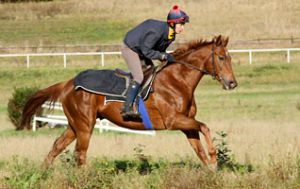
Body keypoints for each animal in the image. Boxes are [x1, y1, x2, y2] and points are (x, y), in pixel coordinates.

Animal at [19, 34, 238, 168]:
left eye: (229, 58)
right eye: (220, 58)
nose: (232, 83)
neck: (178, 81)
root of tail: (67, 83)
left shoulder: (186, 124)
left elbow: (198, 148)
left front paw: (212, 170)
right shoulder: (173, 121)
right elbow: (205, 127)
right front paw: (214, 158)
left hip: (75, 124)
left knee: (58, 146)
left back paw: (42, 173)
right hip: (84, 125)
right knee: (80, 153)